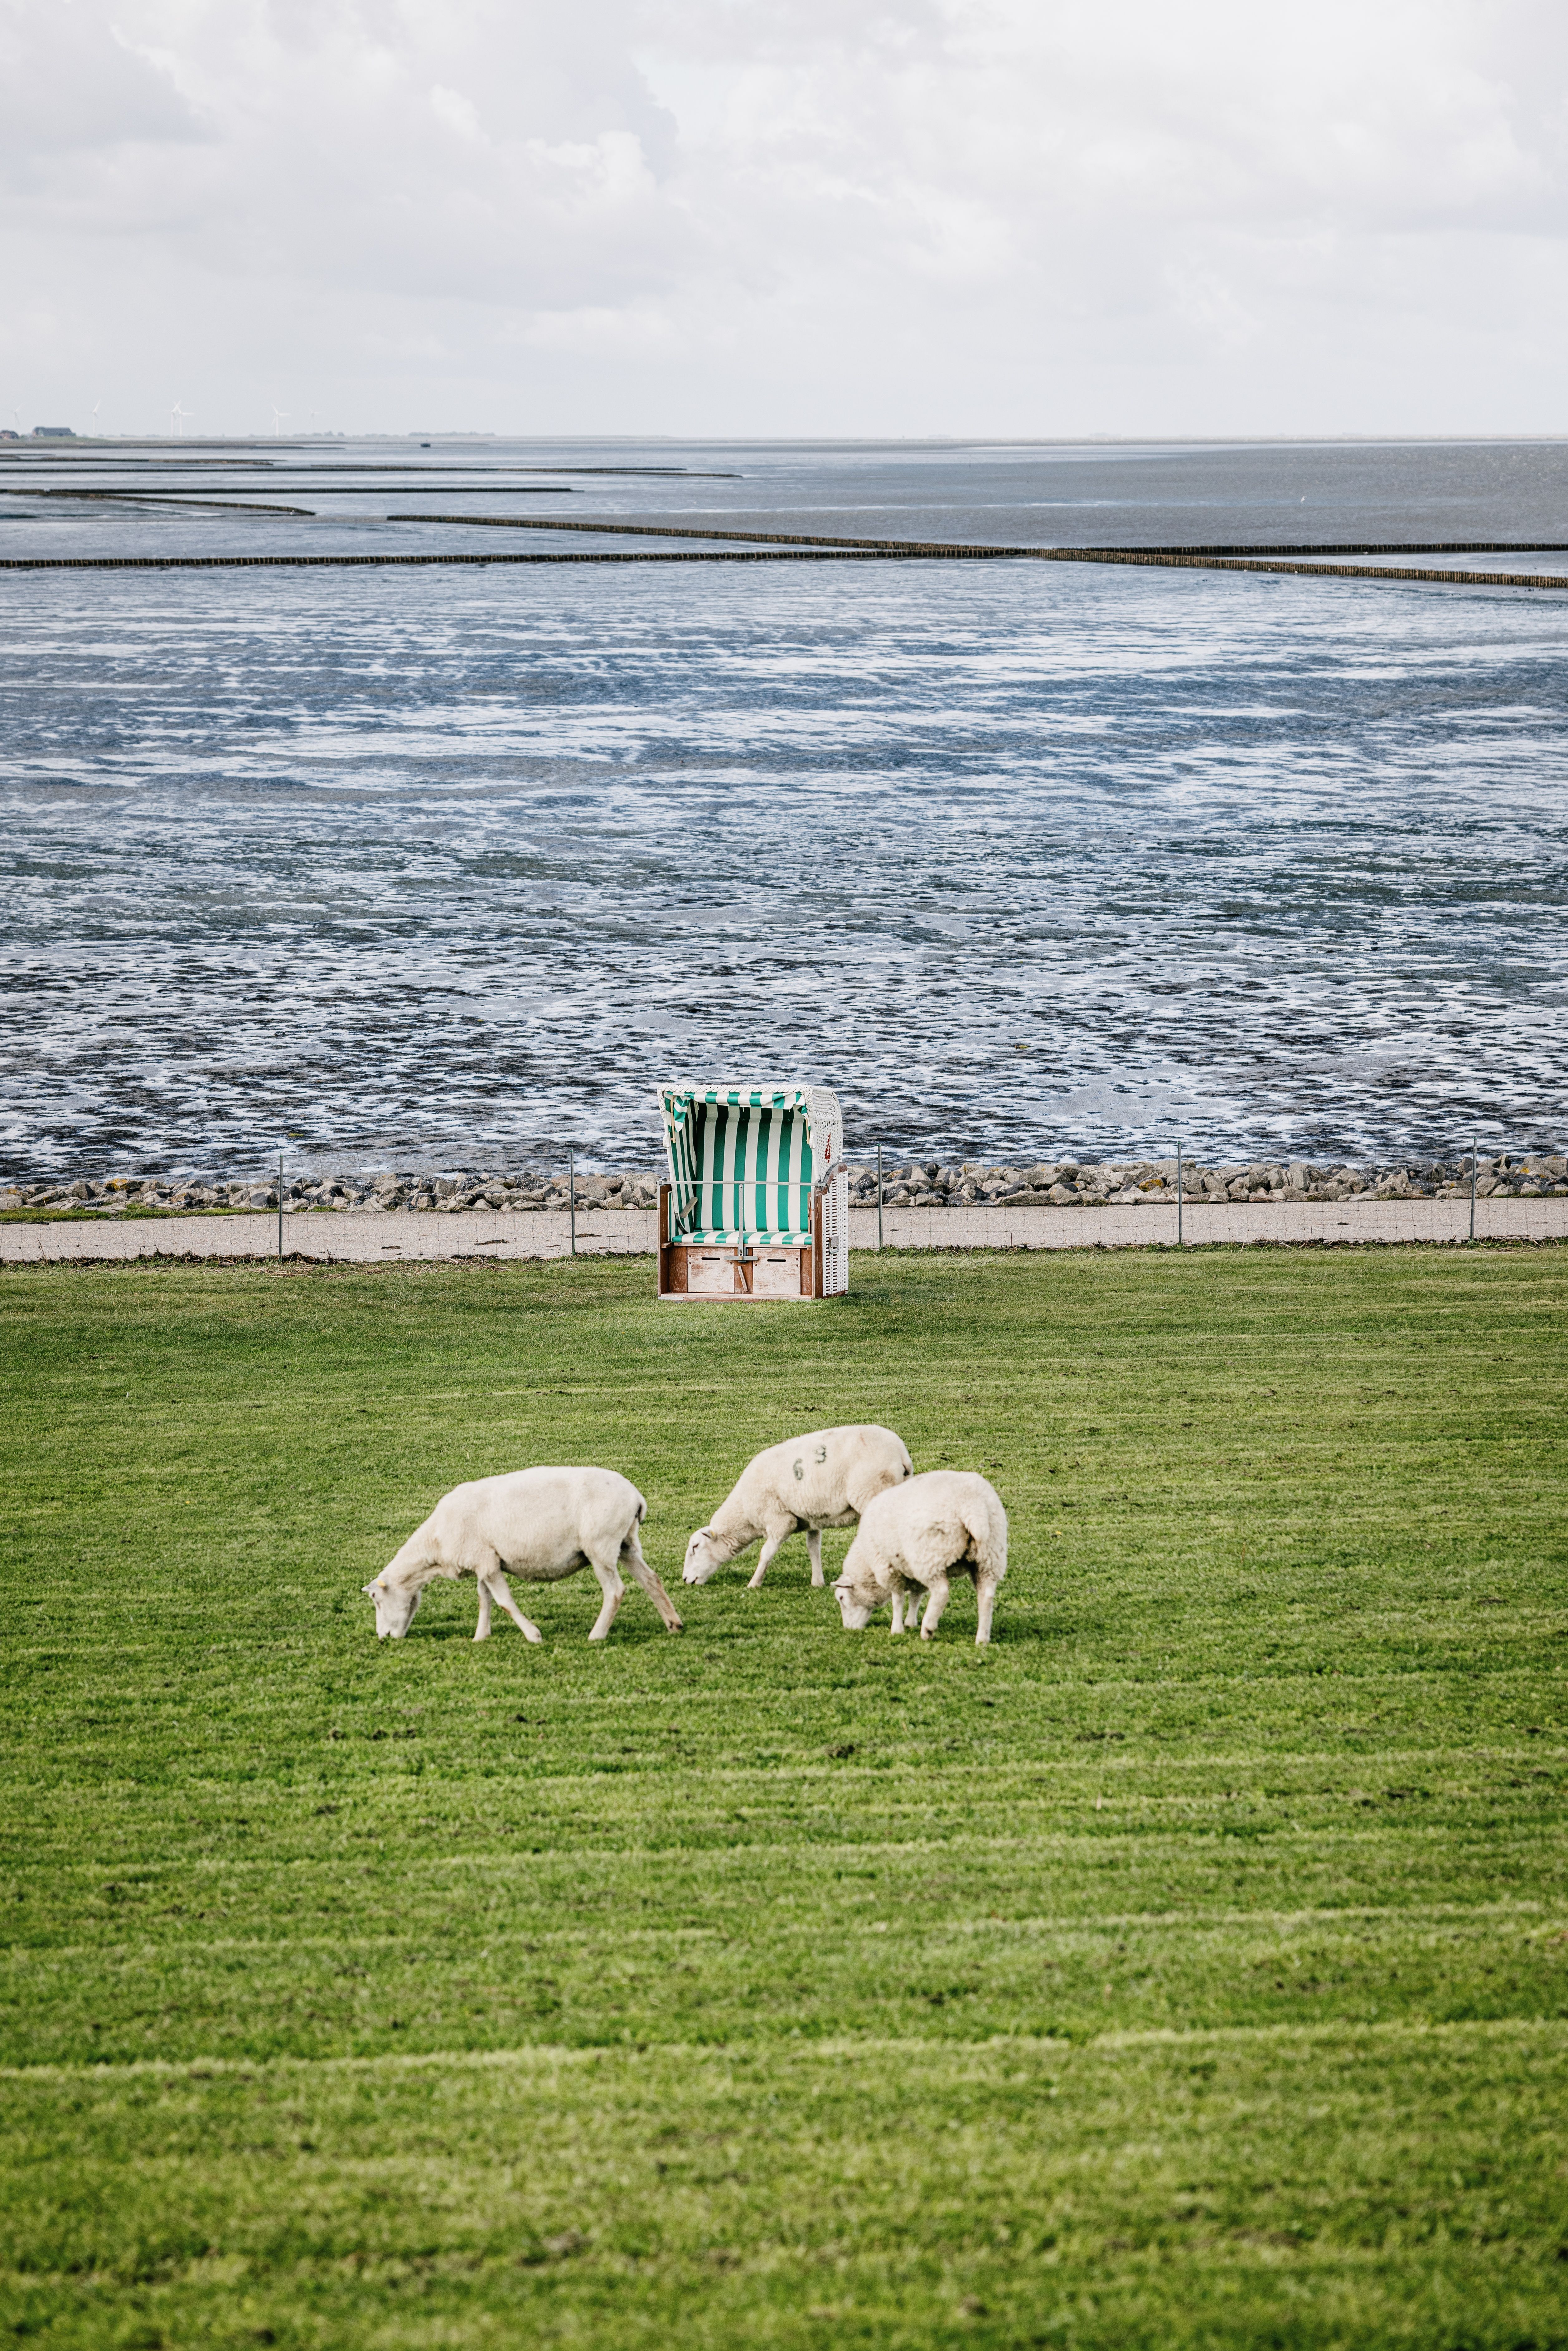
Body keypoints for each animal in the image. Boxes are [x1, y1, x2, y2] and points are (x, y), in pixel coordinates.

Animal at [371, 1467, 691, 1636]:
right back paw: (673, 1624)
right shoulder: (484, 1560)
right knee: (651, 1579)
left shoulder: (485, 1562)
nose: (384, 1637)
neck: (434, 1546)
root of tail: (636, 1497)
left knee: (615, 1591)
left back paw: (597, 1635)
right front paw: (481, 1636)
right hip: (626, 1543)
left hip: (600, 1545)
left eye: (375, 1599)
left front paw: (533, 1635)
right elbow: (484, 1600)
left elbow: (504, 1602)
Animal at [682, 1420, 912, 1589]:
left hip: (872, 1491)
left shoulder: (780, 1520)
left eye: (695, 1547)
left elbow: (766, 1553)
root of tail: (901, 1454)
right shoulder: (812, 1517)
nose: (685, 1579)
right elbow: (814, 1548)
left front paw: (754, 1584)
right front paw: (817, 1582)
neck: (744, 1513)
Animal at [832, 1458, 1006, 1646]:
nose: (848, 1629)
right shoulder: (912, 1569)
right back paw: (982, 1638)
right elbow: (916, 1596)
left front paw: (897, 1629)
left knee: (942, 1592)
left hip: (931, 1557)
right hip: (989, 1556)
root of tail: (973, 1507)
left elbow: (898, 1599)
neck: (866, 1562)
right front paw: (910, 1623)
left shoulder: (890, 1569)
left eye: (841, 1598)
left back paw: (928, 1629)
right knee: (986, 1595)